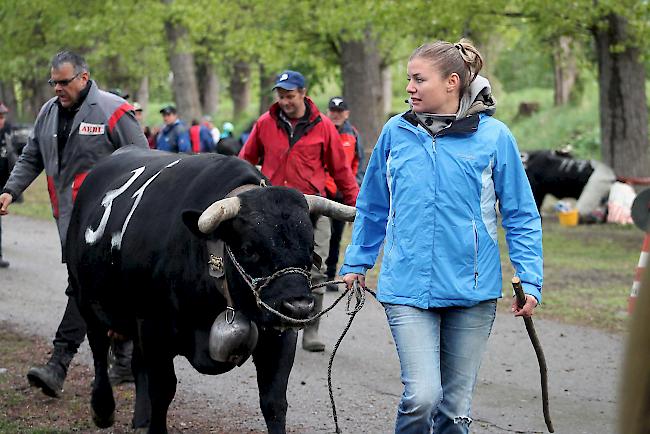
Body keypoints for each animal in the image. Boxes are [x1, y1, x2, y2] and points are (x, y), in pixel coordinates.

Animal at [66, 147, 354, 432]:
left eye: (310, 247)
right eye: (249, 249)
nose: (299, 307)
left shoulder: (278, 337)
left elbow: (274, 402)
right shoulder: (154, 327)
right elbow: (162, 391)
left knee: (136, 364)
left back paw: (140, 419)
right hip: (85, 299)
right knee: (99, 349)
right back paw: (103, 409)